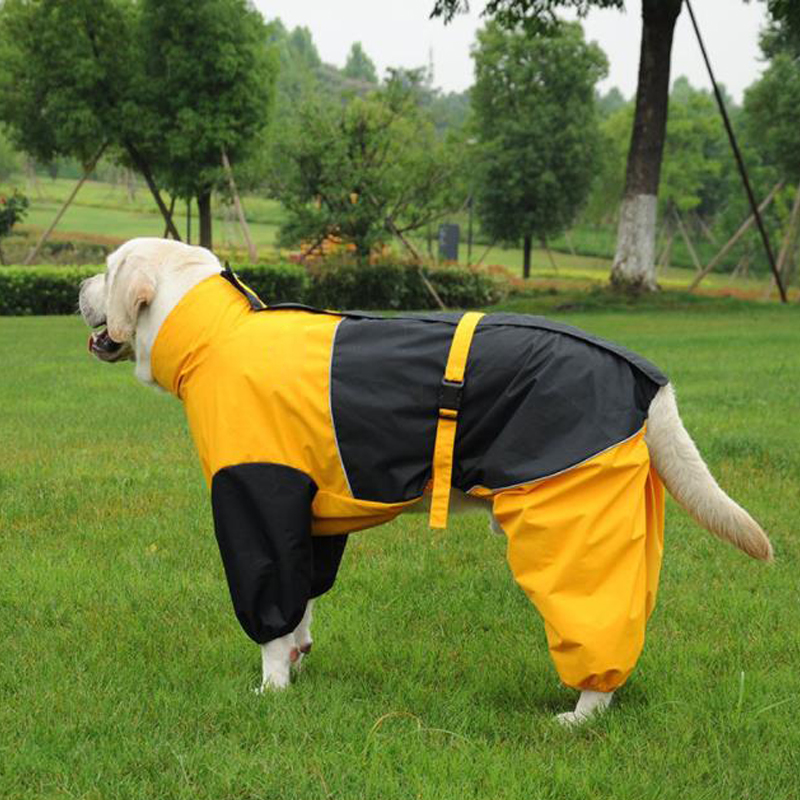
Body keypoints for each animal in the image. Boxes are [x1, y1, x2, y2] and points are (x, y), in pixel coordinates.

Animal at [78, 236, 772, 724]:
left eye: (108, 270)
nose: (79, 288)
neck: (215, 333)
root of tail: (645, 376)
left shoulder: (258, 492)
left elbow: (273, 617)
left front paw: (270, 691)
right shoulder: (310, 515)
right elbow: (302, 607)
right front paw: (297, 669)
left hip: (566, 515)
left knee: (593, 624)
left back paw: (580, 713)